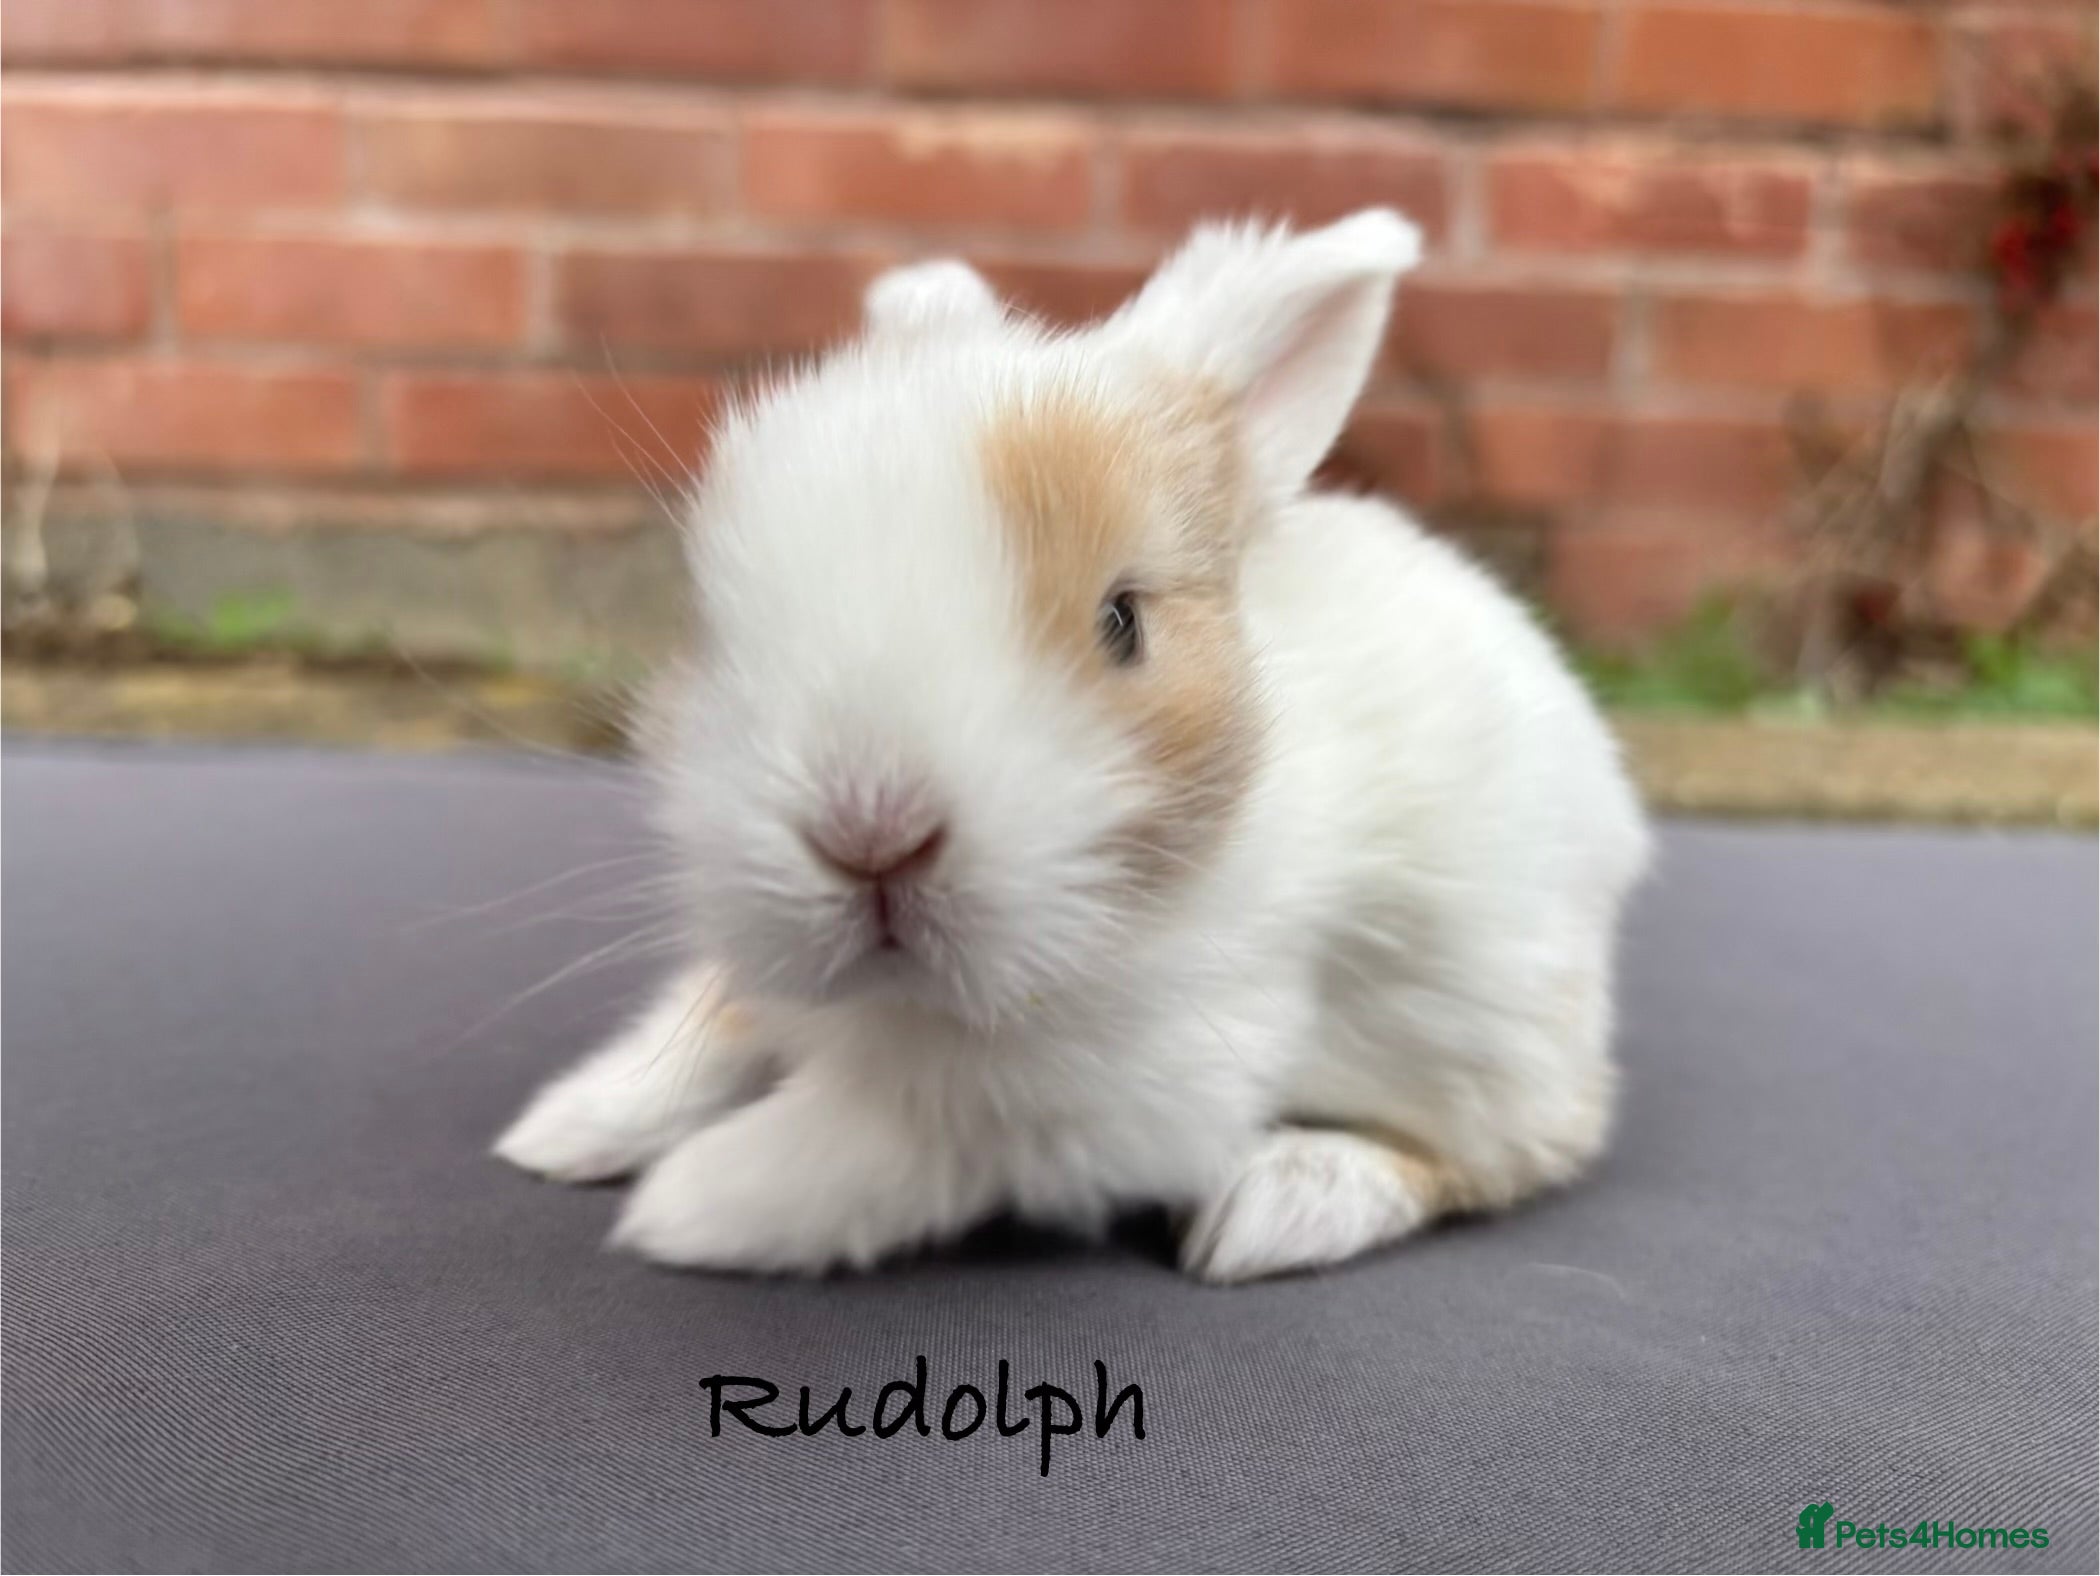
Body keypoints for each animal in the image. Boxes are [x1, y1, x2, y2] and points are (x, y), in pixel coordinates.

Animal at [495, 208, 1653, 1284]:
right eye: (709, 623)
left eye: (1122, 622)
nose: (869, 835)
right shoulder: (759, 977)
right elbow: (712, 1026)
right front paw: (560, 1130)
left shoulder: (1103, 1103)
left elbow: (879, 1145)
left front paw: (686, 1208)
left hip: (1502, 1048)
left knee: (1509, 1156)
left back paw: (1282, 1202)